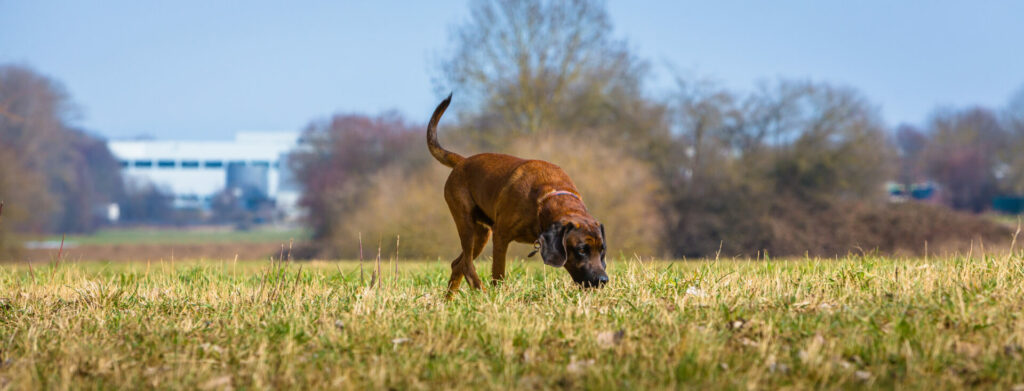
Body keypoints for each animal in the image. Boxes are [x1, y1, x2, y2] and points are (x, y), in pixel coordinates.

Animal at [425, 95, 606, 296]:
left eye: (602, 250)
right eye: (581, 249)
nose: (603, 280)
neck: (547, 198)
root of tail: (462, 162)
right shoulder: (500, 236)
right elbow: (498, 274)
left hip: (482, 233)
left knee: (457, 264)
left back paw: (449, 300)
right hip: (466, 223)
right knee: (466, 264)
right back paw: (480, 290)